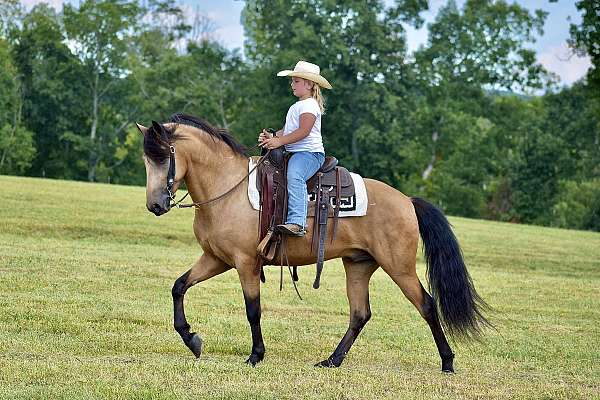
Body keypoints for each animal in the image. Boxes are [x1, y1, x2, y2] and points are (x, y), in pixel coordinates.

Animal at [138, 113, 490, 372]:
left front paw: (256, 355)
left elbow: (253, 310)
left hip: (399, 266)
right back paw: (332, 360)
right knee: (360, 314)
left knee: (427, 304)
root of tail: (407, 201)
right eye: (146, 159)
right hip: (358, 265)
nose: (155, 205)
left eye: (163, 157)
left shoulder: (245, 263)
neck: (227, 188)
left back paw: (447, 362)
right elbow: (179, 286)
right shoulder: (216, 259)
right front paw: (192, 339)